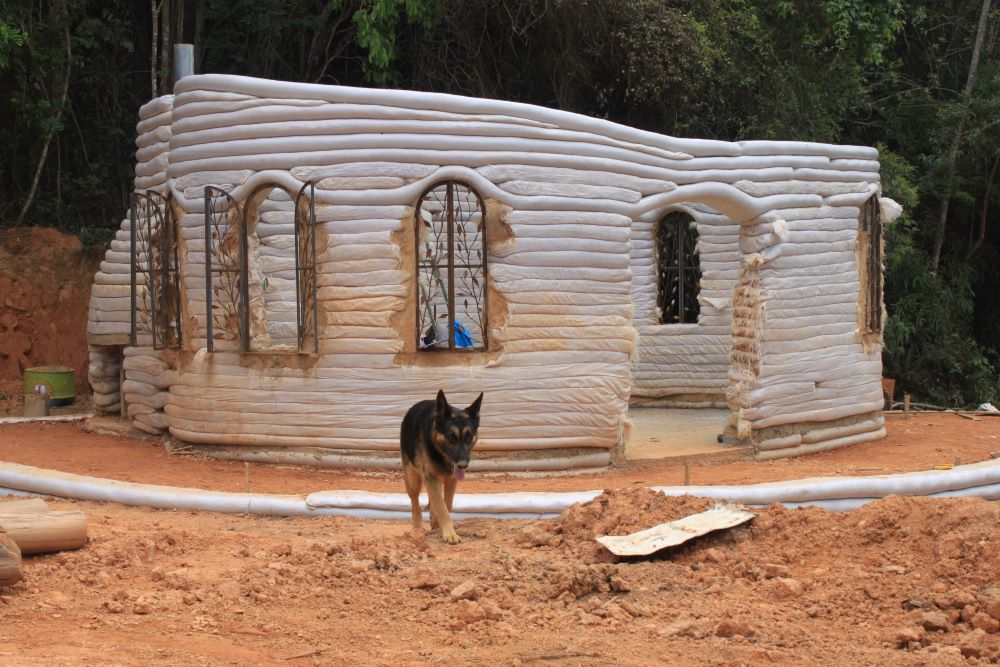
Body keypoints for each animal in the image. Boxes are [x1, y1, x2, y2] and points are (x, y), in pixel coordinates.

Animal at [402, 392, 488, 544]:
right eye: (450, 437)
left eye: (469, 436)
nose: (463, 465)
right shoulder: (430, 478)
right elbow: (442, 508)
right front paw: (449, 533)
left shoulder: (451, 480)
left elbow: (446, 504)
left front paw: (439, 525)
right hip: (413, 481)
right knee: (415, 505)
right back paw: (417, 528)